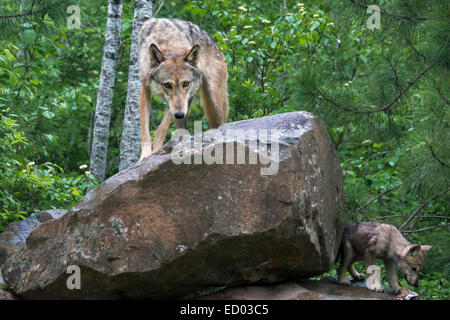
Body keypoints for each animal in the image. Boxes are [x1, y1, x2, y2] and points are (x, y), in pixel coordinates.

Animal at [137, 18, 229, 159]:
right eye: (167, 85)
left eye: (185, 83)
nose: (180, 114)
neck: (169, 43)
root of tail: (217, 46)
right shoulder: (145, 90)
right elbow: (145, 132)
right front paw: (145, 156)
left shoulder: (178, 105)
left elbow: (162, 128)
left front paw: (156, 150)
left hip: (214, 100)